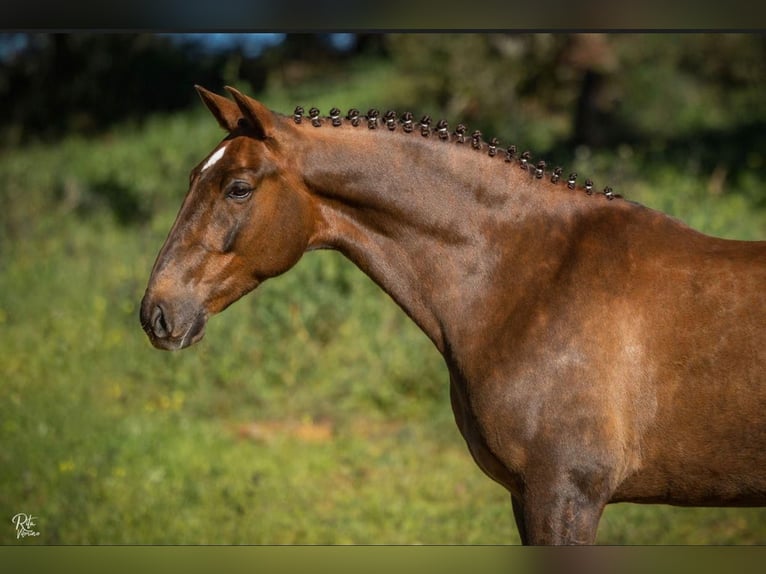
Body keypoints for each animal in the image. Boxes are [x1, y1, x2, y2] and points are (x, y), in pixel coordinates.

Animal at [140, 84, 766, 544]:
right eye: (195, 177)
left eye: (238, 188)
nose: (157, 313)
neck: (530, 279)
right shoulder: (527, 497)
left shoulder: (565, 494)